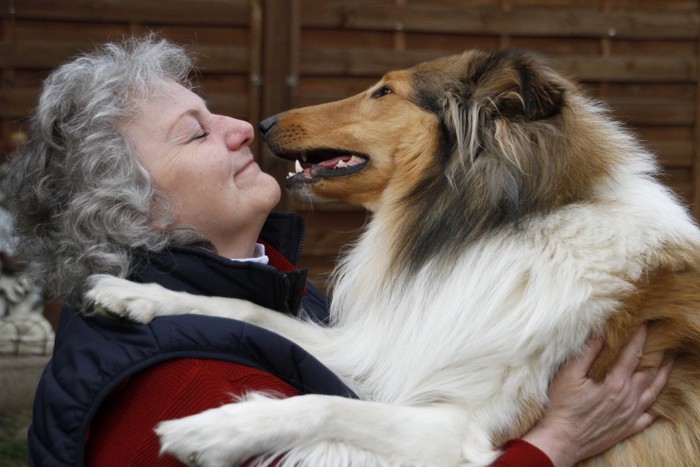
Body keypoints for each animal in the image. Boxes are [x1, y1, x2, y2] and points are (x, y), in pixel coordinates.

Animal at [90, 49, 700, 466]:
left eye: (385, 92)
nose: (260, 125)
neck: (490, 230)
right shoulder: (382, 344)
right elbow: (247, 310)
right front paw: (131, 293)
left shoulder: (464, 428)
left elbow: (326, 405)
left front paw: (214, 429)